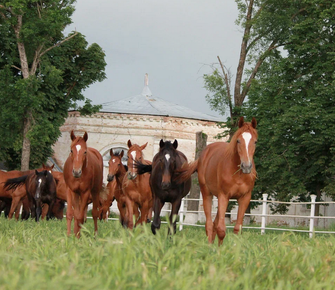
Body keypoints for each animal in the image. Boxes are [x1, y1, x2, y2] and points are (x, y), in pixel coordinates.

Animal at [177, 117, 258, 245]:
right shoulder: (223, 196)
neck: (238, 174)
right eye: (238, 141)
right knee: (210, 225)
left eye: (255, 141)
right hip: (207, 194)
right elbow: (221, 229)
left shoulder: (245, 198)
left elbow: (237, 228)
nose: (246, 166)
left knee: (214, 224)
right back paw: (210, 246)